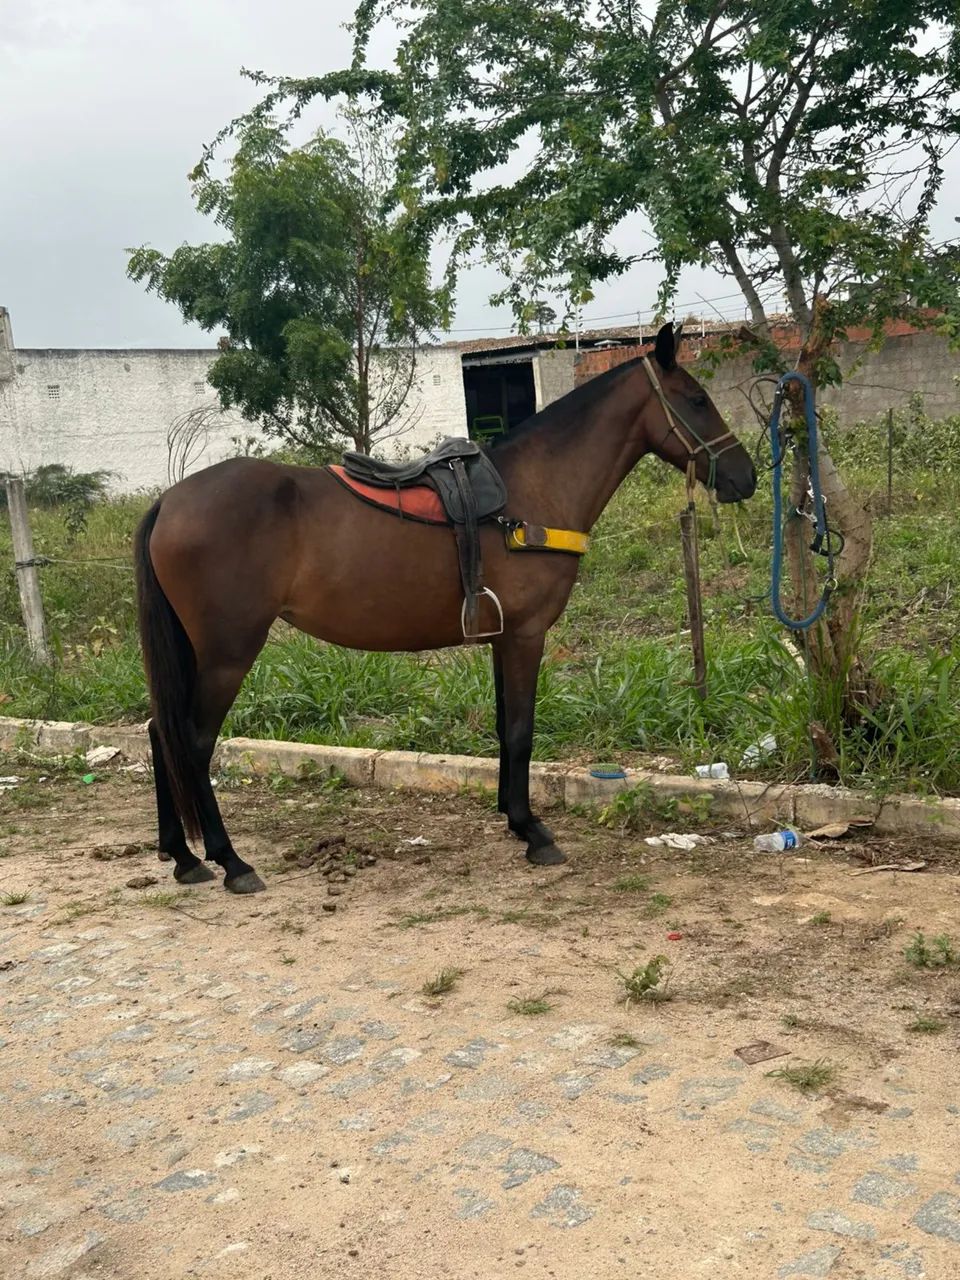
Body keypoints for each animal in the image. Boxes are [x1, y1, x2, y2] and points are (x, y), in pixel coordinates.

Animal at [134, 322, 756, 893]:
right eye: (696, 400)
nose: (746, 477)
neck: (533, 493)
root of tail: (169, 502)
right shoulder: (527, 635)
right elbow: (522, 731)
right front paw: (534, 833)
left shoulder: (504, 638)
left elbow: (506, 728)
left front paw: (513, 819)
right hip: (228, 652)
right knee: (193, 741)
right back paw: (230, 861)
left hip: (195, 651)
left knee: (160, 731)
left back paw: (184, 857)